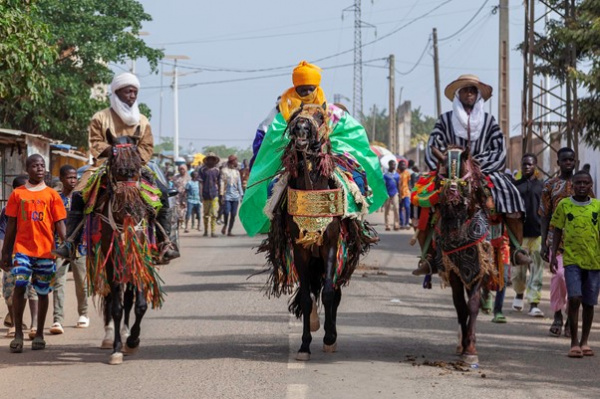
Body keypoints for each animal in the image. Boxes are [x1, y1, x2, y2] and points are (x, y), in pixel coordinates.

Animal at [84, 131, 163, 366]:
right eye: (113, 159)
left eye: (137, 161)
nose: (132, 208)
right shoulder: (111, 261)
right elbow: (116, 307)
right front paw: (117, 348)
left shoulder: (141, 257)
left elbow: (140, 305)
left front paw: (133, 340)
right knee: (114, 299)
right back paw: (110, 336)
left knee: (128, 298)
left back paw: (127, 333)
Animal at [258, 104, 376, 360]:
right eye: (293, 116)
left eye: (321, 117)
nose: (300, 128)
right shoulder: (301, 249)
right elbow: (305, 297)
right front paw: (304, 345)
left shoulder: (330, 245)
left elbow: (329, 293)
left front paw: (330, 337)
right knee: (312, 292)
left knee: (335, 292)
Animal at [432, 147, 496, 366]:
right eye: (441, 176)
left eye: (464, 176)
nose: (452, 199)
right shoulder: (454, 271)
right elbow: (460, 306)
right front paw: (463, 344)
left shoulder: (478, 269)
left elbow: (473, 305)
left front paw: (471, 349)